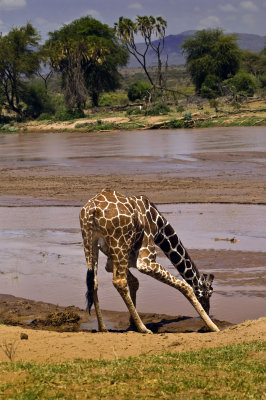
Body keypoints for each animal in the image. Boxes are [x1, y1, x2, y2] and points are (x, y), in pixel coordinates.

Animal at [80, 189, 219, 332]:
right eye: (210, 293)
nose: (208, 310)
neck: (159, 225)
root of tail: (92, 209)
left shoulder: (112, 261)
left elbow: (134, 282)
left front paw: (132, 322)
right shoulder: (145, 261)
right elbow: (186, 286)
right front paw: (213, 327)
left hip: (90, 242)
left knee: (94, 281)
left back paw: (103, 327)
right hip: (119, 245)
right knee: (119, 282)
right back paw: (144, 328)